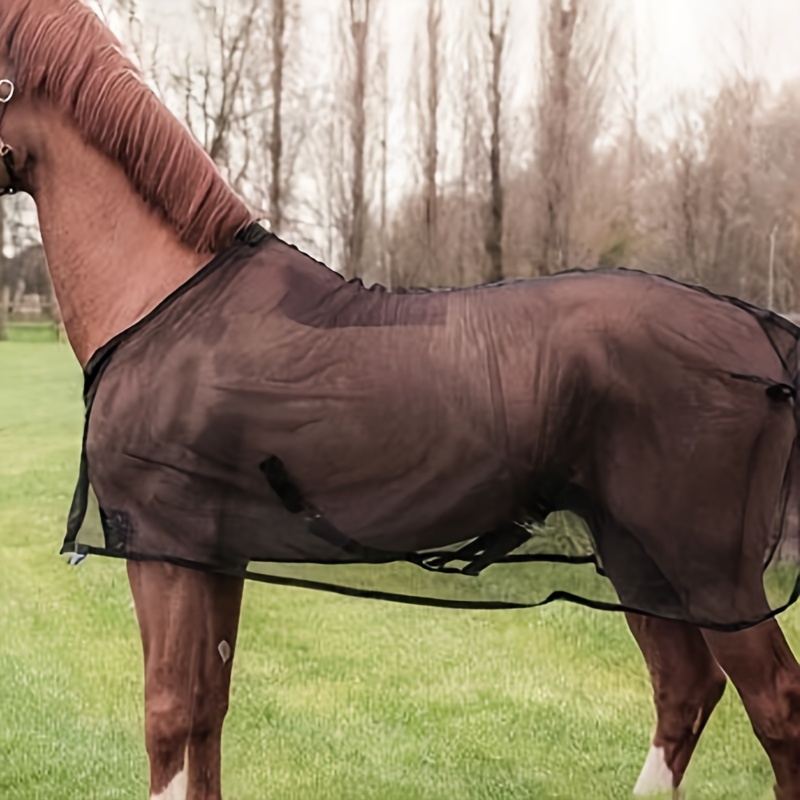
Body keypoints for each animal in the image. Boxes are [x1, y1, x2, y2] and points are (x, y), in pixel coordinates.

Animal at [3, 2, 800, 799]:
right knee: (684, 687)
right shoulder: (210, 557)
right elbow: (207, 712)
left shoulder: (164, 552)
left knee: (774, 703)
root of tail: (757, 330)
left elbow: (168, 714)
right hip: (634, 552)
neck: (169, 302)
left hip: (709, 567)